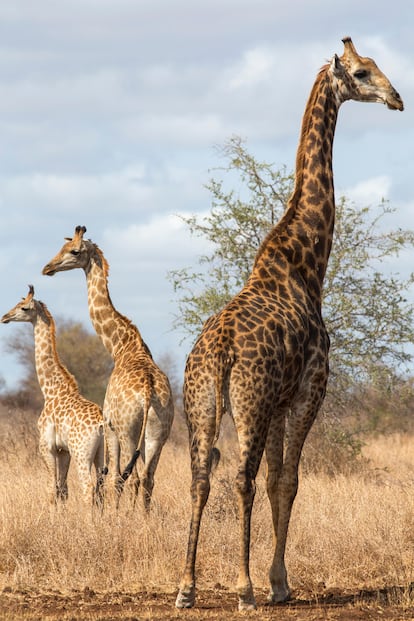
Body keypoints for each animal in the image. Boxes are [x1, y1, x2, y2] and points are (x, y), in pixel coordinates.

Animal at [2, 286, 105, 504]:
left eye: (24, 307)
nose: (4, 317)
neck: (51, 390)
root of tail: (101, 425)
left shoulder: (46, 446)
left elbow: (51, 490)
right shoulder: (63, 450)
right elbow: (62, 490)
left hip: (82, 453)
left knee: (88, 489)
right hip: (102, 454)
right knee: (102, 489)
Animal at [43, 226, 175, 508]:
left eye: (74, 251)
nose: (48, 267)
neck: (120, 346)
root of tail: (148, 392)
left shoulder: (110, 427)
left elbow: (114, 477)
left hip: (127, 431)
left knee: (131, 477)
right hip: (159, 432)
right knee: (148, 478)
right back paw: (144, 517)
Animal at [175, 35, 404, 612]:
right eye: (362, 72)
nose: (397, 99)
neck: (306, 261)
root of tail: (218, 354)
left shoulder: (279, 402)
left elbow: (281, 476)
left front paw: (277, 580)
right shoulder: (308, 389)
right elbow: (289, 481)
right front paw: (278, 583)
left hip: (200, 404)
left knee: (199, 480)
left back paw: (186, 587)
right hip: (248, 402)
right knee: (242, 479)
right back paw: (243, 589)